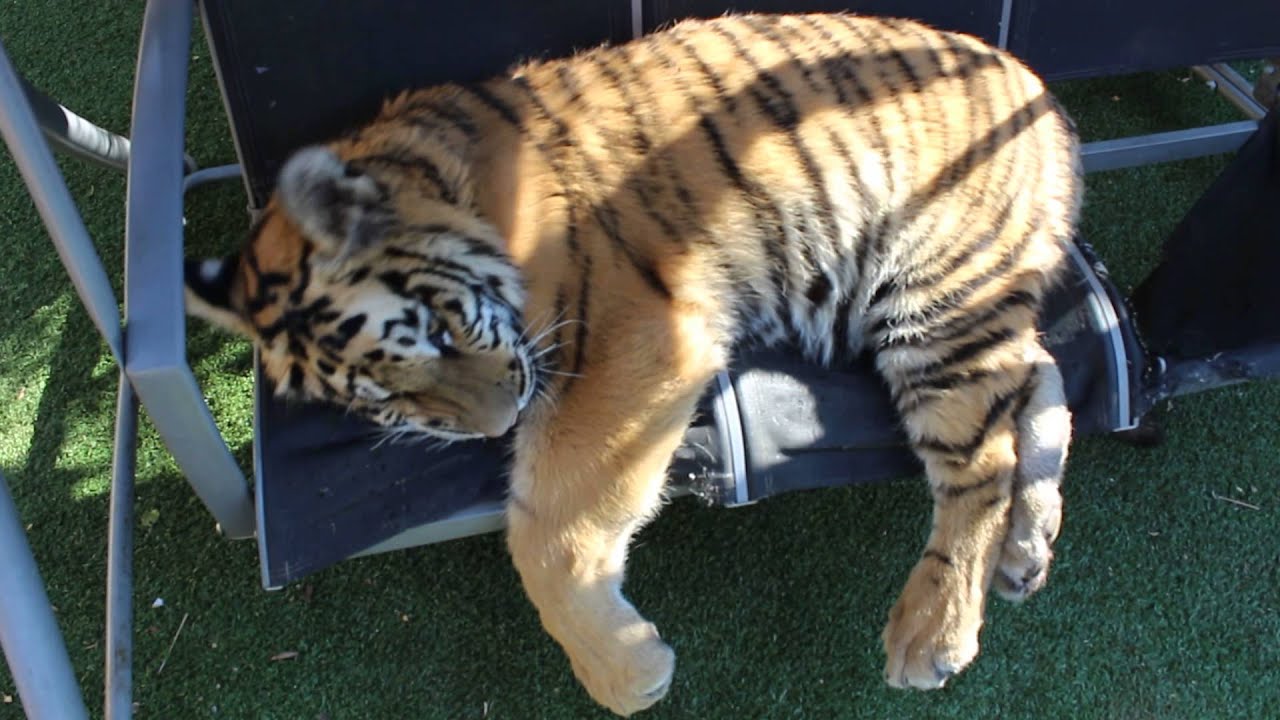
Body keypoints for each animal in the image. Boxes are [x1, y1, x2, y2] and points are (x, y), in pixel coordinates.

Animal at [185, 11, 1080, 715]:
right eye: (386, 399)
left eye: (436, 333)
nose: (499, 422)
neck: (449, 187)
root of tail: (1036, 88)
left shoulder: (637, 336)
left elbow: (548, 529)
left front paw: (625, 672)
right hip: (946, 302)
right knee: (1043, 376)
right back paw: (1028, 550)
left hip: (932, 291)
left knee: (983, 460)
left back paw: (934, 632)